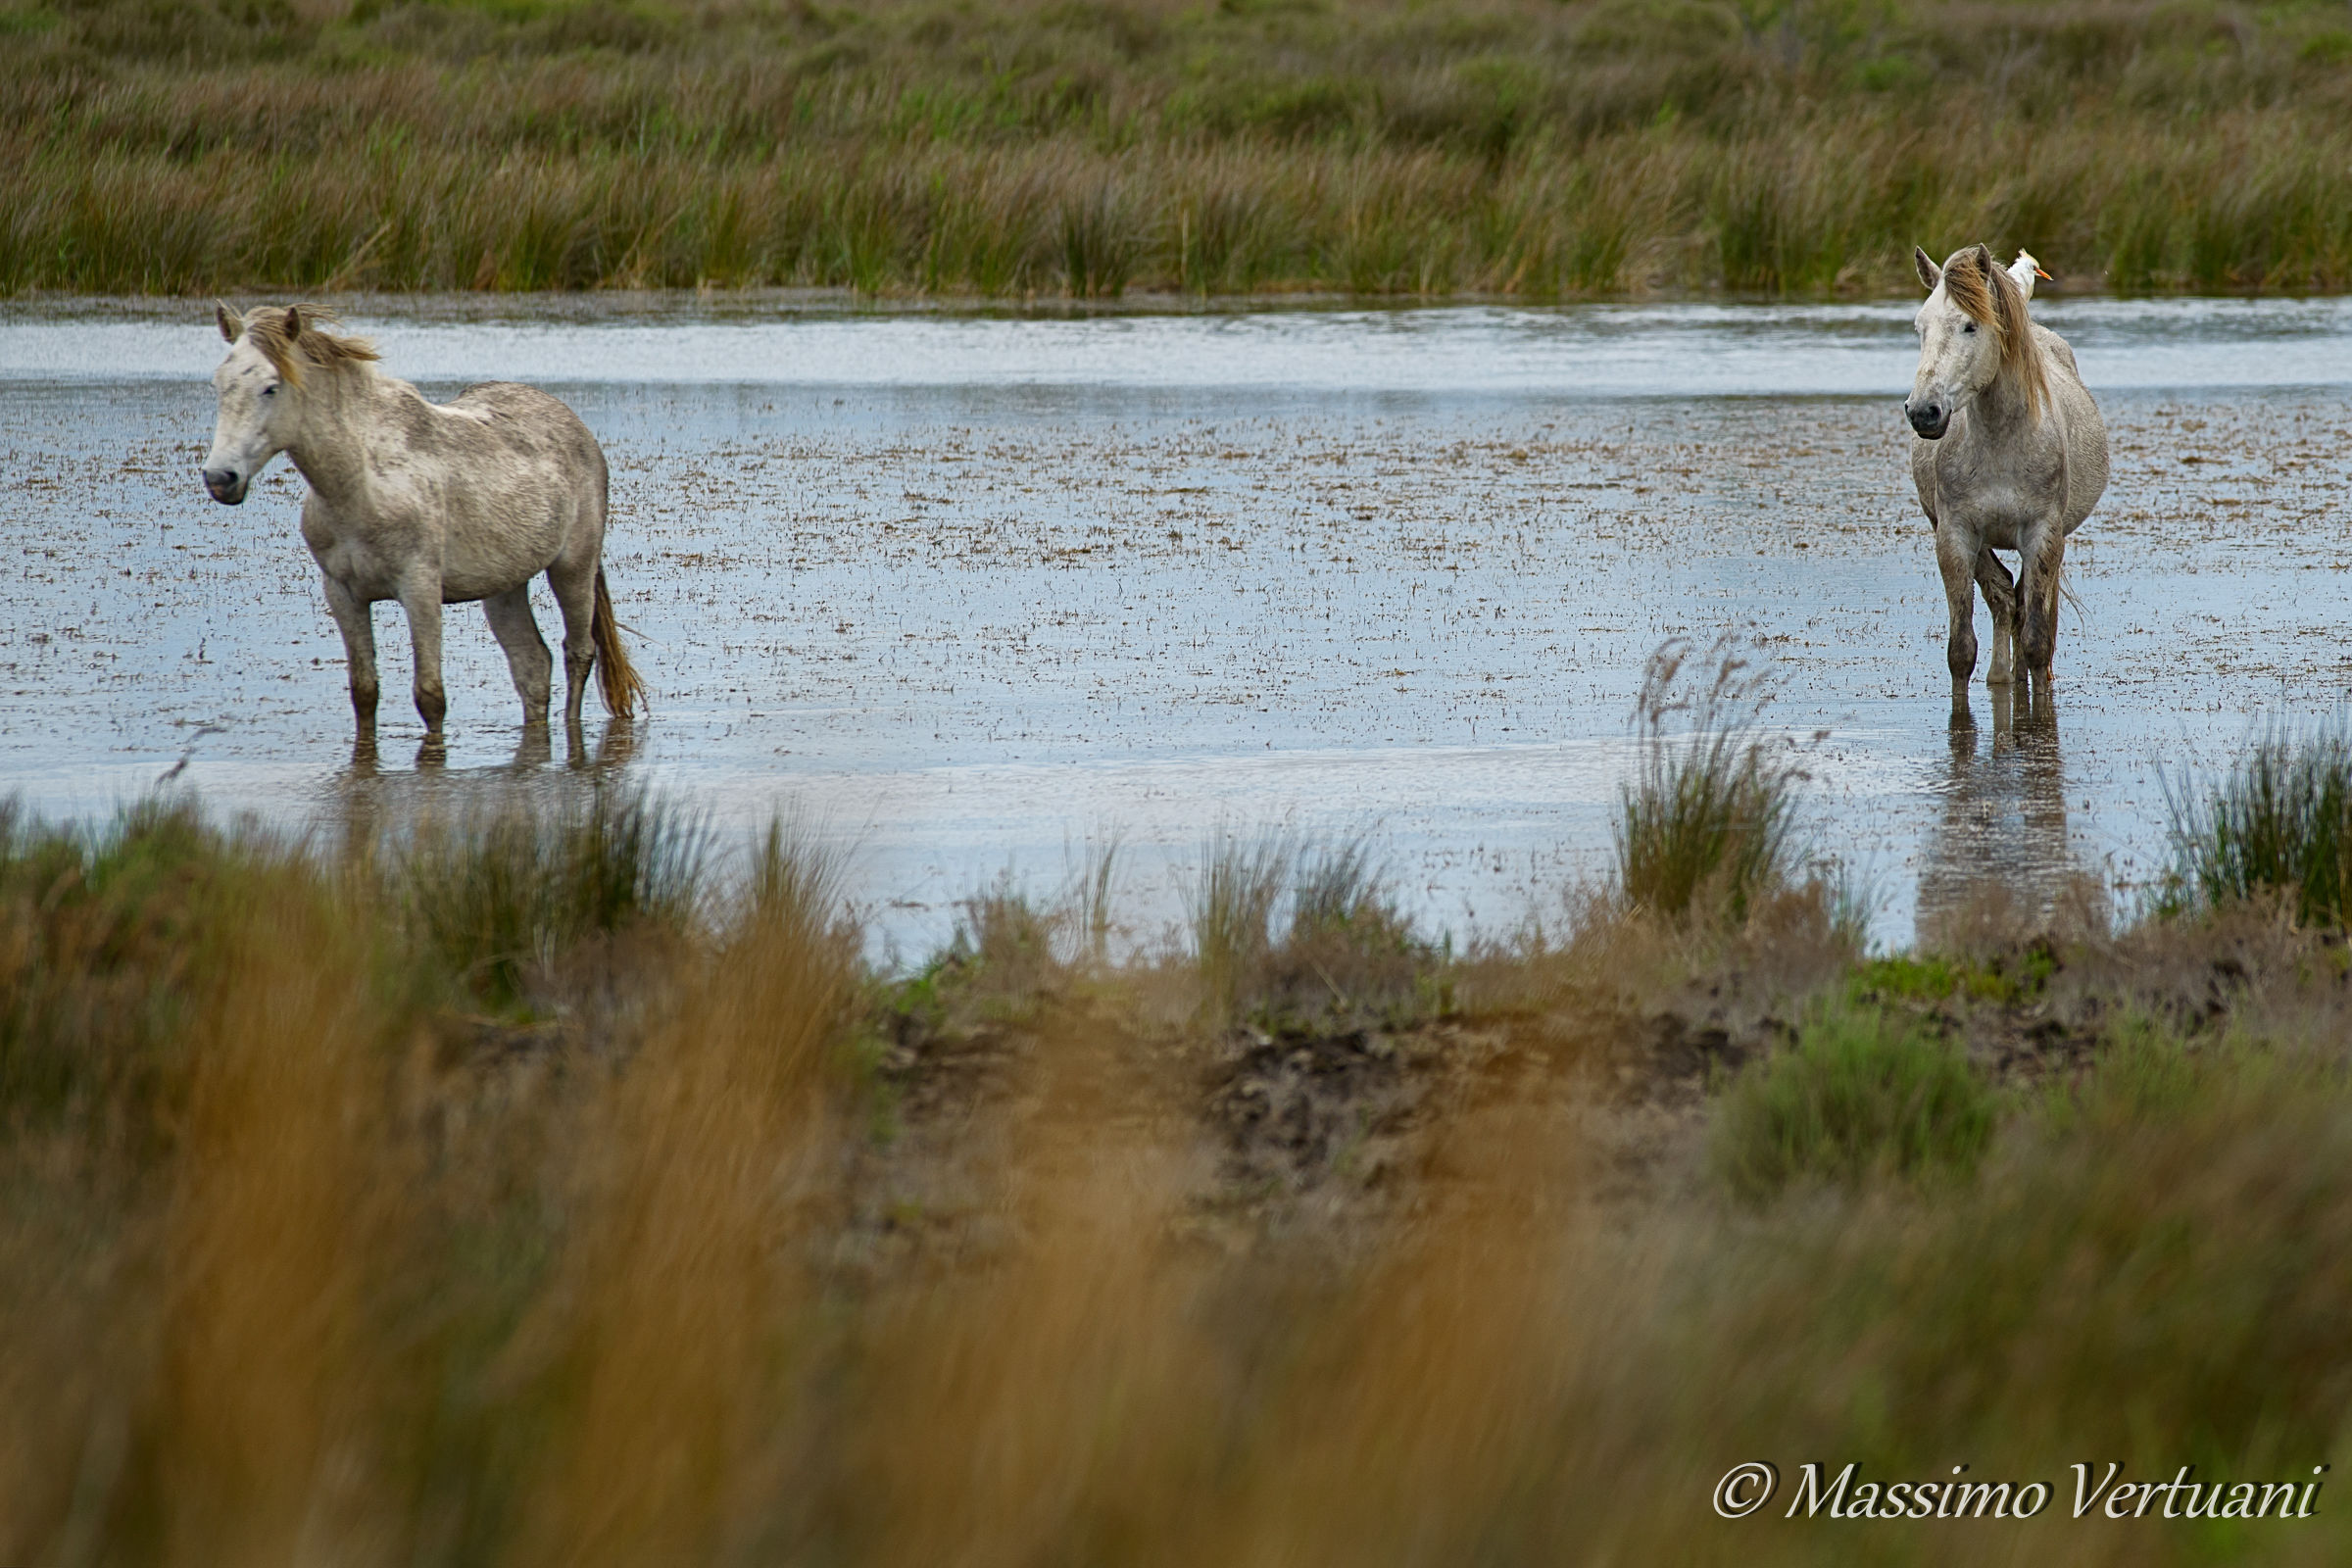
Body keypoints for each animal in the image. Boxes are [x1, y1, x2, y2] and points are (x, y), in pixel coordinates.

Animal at [201, 303, 645, 744]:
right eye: (219, 384)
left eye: (271, 387)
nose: (221, 478)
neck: (361, 484)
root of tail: (577, 428)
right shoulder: (342, 594)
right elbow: (364, 692)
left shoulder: (420, 589)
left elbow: (430, 696)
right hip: (505, 586)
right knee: (532, 665)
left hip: (573, 568)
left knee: (578, 652)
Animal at [1904, 244, 2108, 692]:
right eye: (1920, 327)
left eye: (1970, 326)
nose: (1924, 412)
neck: (2001, 444)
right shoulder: (1955, 535)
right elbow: (1961, 651)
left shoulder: (2043, 535)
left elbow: (2036, 644)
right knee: (2004, 598)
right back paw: (2001, 677)